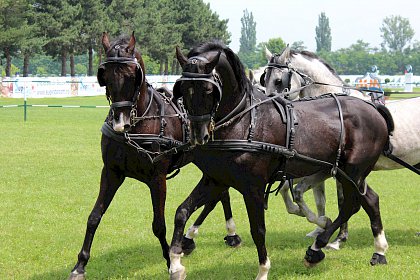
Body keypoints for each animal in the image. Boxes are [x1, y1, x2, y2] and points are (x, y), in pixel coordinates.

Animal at [68, 33, 240, 280]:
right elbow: (94, 217)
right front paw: (80, 265)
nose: (120, 122)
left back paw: (226, 234)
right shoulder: (111, 172)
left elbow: (159, 225)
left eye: (133, 75)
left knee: (219, 193)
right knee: (221, 193)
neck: (138, 124)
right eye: (105, 75)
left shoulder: (156, 178)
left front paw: (171, 260)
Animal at [168, 42, 394, 280]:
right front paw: (175, 262)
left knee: (353, 204)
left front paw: (263, 270)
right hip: (348, 174)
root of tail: (373, 108)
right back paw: (377, 250)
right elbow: (181, 212)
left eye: (209, 90)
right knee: (369, 200)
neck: (243, 122)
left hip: (353, 172)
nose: (198, 135)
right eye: (182, 89)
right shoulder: (215, 180)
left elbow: (258, 229)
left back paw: (318, 248)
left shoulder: (253, 187)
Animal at [262, 46, 420, 249]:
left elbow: (341, 200)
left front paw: (337, 237)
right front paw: (322, 227)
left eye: (278, 80)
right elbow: (300, 193)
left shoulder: (336, 170)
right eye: (264, 78)